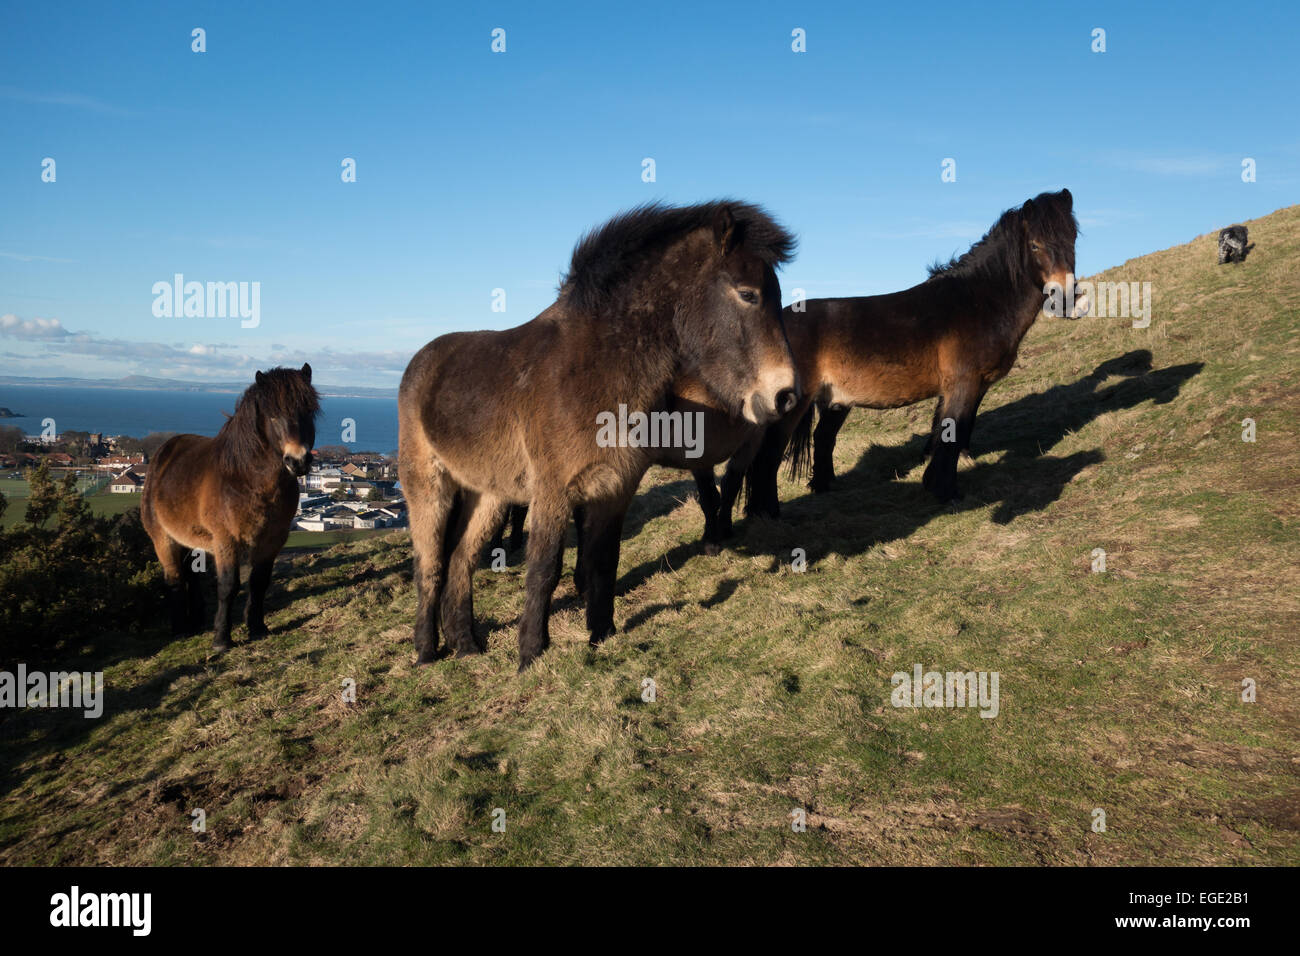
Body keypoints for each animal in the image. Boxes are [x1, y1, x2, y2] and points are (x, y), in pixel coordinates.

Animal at [140, 364, 319, 650]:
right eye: (272, 415)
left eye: (309, 411)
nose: (298, 461)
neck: (246, 478)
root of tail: (163, 452)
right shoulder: (226, 540)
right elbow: (228, 586)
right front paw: (222, 639)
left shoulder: (272, 540)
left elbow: (258, 582)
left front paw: (256, 627)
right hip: (163, 539)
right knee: (175, 580)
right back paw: (180, 628)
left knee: (190, 576)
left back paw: (196, 620)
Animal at [400, 199, 795, 671]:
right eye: (748, 293)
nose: (785, 395)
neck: (594, 368)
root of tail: (421, 361)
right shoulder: (554, 491)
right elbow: (545, 569)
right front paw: (531, 654)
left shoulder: (615, 488)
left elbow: (604, 561)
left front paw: (601, 635)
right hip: (429, 488)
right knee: (431, 567)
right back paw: (427, 652)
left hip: (489, 495)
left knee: (460, 561)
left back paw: (466, 645)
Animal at [743, 187, 1086, 515]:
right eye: (1035, 246)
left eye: (1073, 237)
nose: (1066, 298)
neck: (979, 303)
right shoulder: (963, 384)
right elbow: (952, 434)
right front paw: (946, 492)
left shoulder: (971, 387)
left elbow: (951, 431)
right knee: (767, 457)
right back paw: (767, 513)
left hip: (836, 402)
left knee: (822, 439)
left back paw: (823, 488)